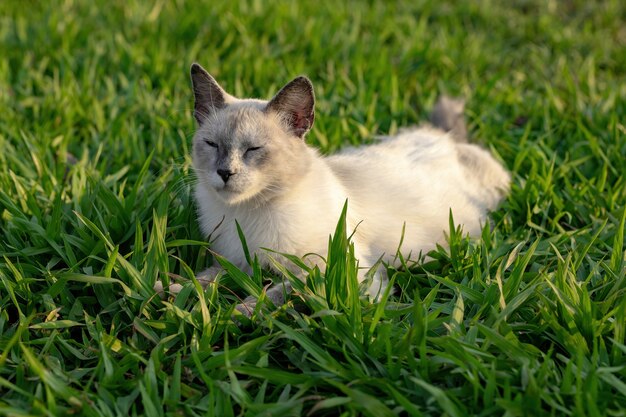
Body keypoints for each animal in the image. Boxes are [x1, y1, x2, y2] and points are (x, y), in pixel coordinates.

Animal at [154, 62, 510, 316]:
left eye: (253, 150)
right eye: (212, 145)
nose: (224, 173)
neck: (245, 213)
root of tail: (446, 138)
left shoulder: (334, 268)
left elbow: (278, 292)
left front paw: (238, 312)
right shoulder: (233, 261)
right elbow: (203, 278)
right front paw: (169, 292)